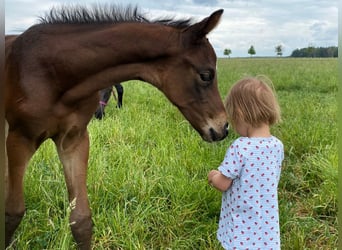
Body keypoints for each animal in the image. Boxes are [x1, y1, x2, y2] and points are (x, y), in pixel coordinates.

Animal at [4, 4, 227, 249]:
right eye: (206, 75)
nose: (223, 127)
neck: (55, 71)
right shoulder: (20, 138)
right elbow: (12, 213)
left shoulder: (73, 140)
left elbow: (81, 220)